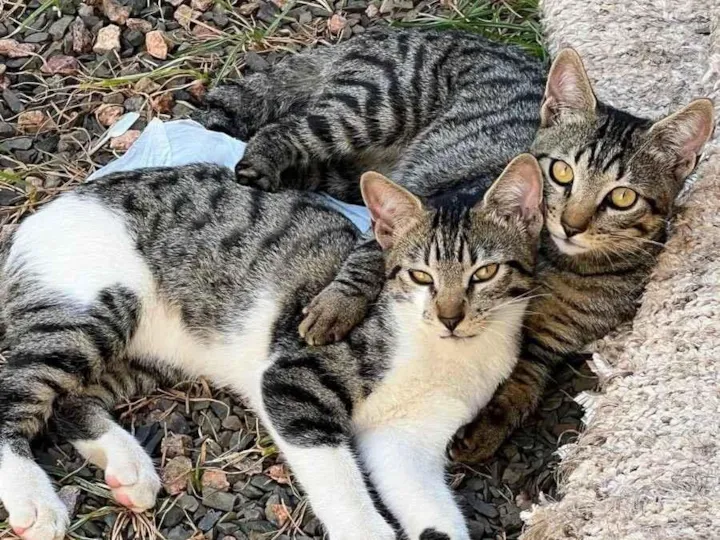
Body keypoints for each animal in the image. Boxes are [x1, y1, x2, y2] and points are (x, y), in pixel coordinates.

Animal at [0, 153, 543, 540]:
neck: (444, 355)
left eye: (485, 273)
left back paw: (127, 468)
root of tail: (47, 209)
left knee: (71, 401)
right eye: (421, 276)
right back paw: (35, 503)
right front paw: (364, 526)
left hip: (153, 357)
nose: (450, 317)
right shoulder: (292, 380)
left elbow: (426, 500)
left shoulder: (407, 438)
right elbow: (338, 479)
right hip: (97, 309)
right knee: (16, 393)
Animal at [197, 28, 714, 462]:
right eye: (561, 172)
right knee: (286, 130)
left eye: (622, 197)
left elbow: (522, 386)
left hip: (353, 167)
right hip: (371, 108)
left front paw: (487, 429)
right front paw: (336, 306)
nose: (570, 224)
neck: (555, 263)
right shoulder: (432, 200)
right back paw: (260, 164)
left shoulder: (546, 344)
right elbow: (372, 253)